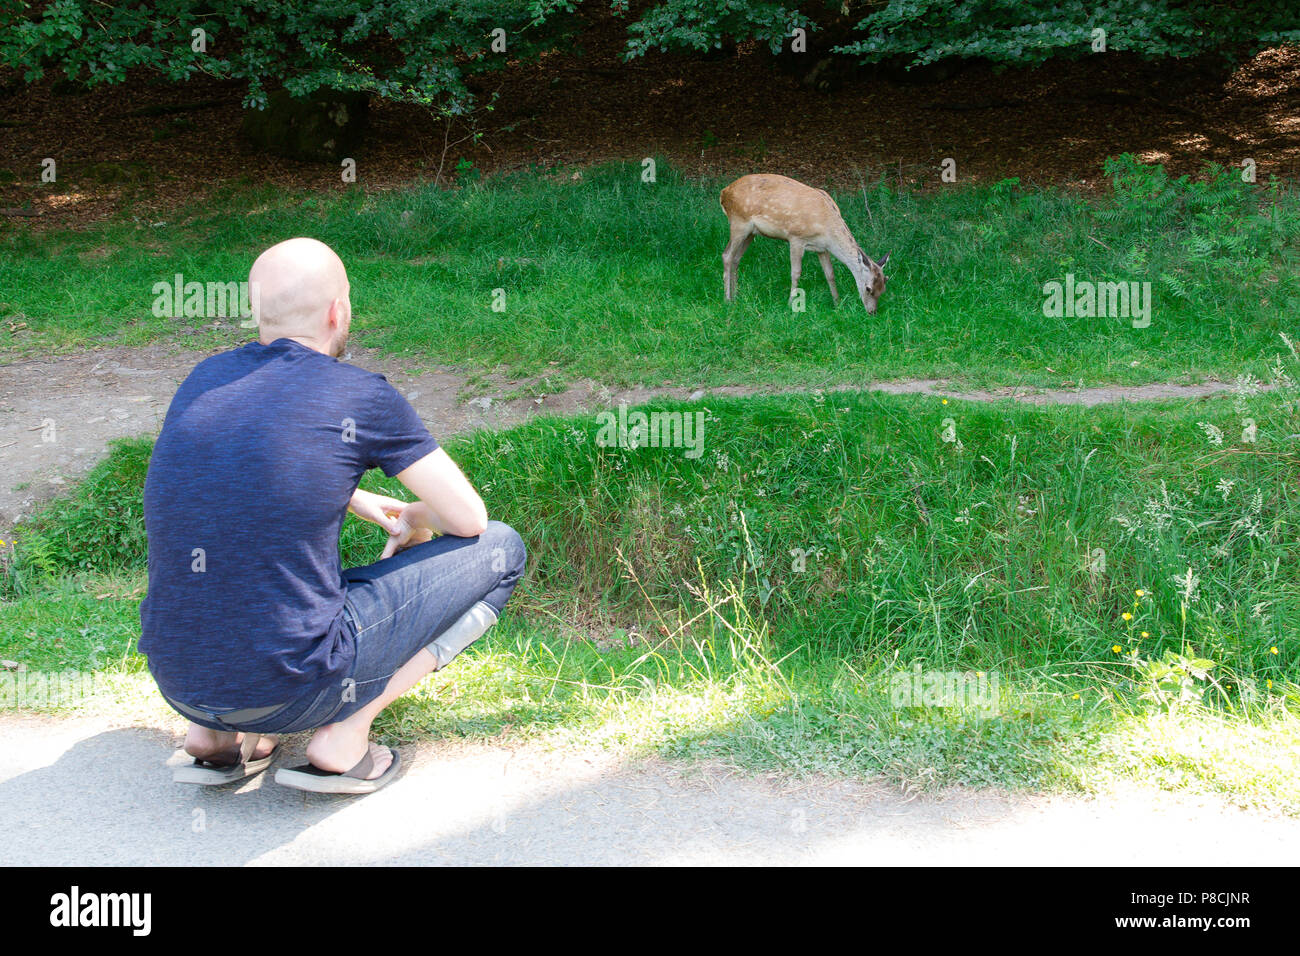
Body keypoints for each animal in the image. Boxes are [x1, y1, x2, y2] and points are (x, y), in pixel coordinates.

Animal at [717, 174, 889, 316]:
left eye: (884, 287)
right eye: (868, 288)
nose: (872, 312)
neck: (827, 227)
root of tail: (724, 192)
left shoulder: (822, 248)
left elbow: (830, 274)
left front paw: (837, 303)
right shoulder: (796, 238)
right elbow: (796, 273)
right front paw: (790, 304)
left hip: (751, 232)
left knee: (736, 258)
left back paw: (736, 295)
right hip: (739, 222)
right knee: (727, 255)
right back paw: (727, 300)